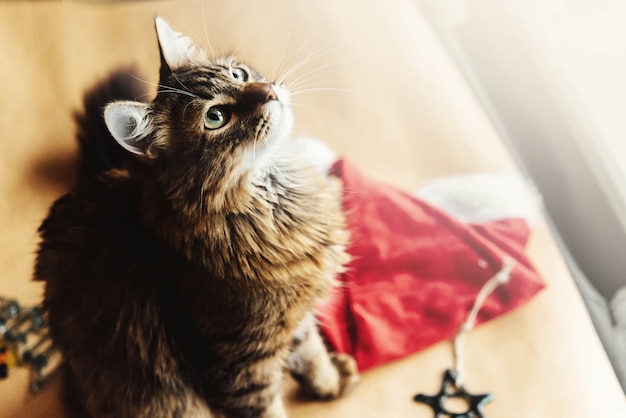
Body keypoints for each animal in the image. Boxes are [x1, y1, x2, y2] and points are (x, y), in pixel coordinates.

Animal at [34, 16, 356, 418]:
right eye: (216, 117)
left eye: (238, 73)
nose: (269, 92)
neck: (278, 196)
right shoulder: (239, 368)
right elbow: (269, 406)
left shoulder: (293, 318)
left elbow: (311, 352)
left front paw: (329, 383)